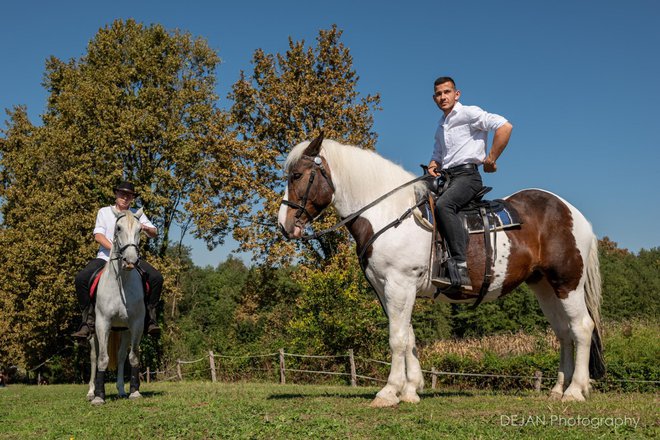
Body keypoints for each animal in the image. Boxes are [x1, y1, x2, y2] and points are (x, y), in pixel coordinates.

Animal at [87, 207, 145, 406]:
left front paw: (134, 391)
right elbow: (103, 359)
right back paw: (91, 391)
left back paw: (121, 390)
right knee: (94, 356)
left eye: (141, 229)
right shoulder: (102, 323)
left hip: (123, 330)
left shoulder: (136, 324)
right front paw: (99, 396)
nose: (130, 260)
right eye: (118, 228)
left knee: (120, 357)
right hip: (93, 332)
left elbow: (132, 357)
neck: (122, 283)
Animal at [278, 136, 604, 408]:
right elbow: (408, 337)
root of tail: (573, 213)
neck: (388, 214)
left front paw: (389, 392)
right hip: (545, 287)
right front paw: (410, 390)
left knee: (581, 328)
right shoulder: (389, 289)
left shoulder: (399, 285)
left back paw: (575, 390)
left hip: (567, 283)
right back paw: (558, 389)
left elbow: (397, 338)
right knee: (563, 332)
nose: (284, 224)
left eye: (297, 176)